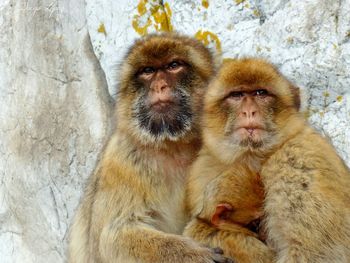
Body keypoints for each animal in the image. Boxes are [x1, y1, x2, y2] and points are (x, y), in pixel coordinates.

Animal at [67, 33, 232, 263]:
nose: (159, 86)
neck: (174, 144)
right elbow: (113, 237)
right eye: (147, 71)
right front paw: (194, 255)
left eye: (174, 66)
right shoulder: (121, 159)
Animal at [185, 57, 350, 263]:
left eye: (260, 93)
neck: (253, 157)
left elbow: (318, 254)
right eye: (236, 95)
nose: (249, 112)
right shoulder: (203, 170)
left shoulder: (298, 160)